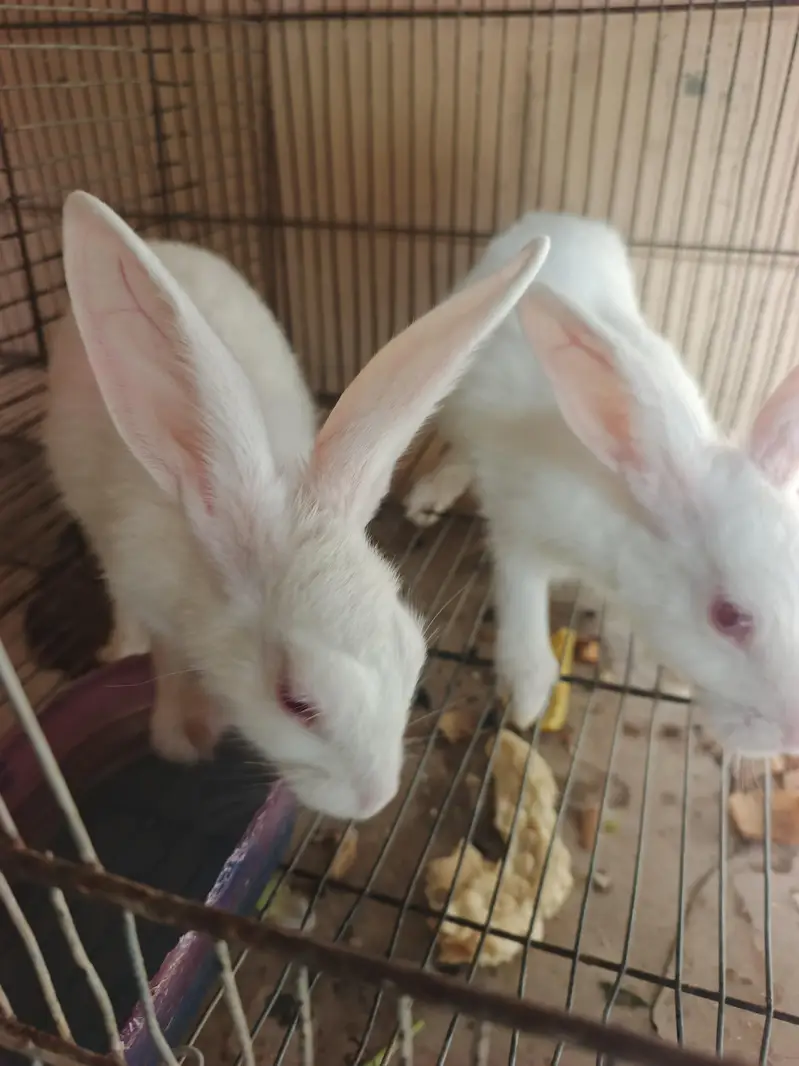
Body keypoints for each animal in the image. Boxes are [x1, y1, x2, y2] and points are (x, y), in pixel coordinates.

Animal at [43, 190, 551, 821]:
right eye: (296, 702)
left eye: (413, 655)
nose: (376, 799)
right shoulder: (148, 591)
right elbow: (165, 660)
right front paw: (181, 735)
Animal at [404, 209, 799, 756]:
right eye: (727, 616)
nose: (794, 733)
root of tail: (556, 217)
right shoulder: (518, 528)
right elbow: (521, 602)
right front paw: (527, 695)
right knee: (459, 452)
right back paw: (427, 498)